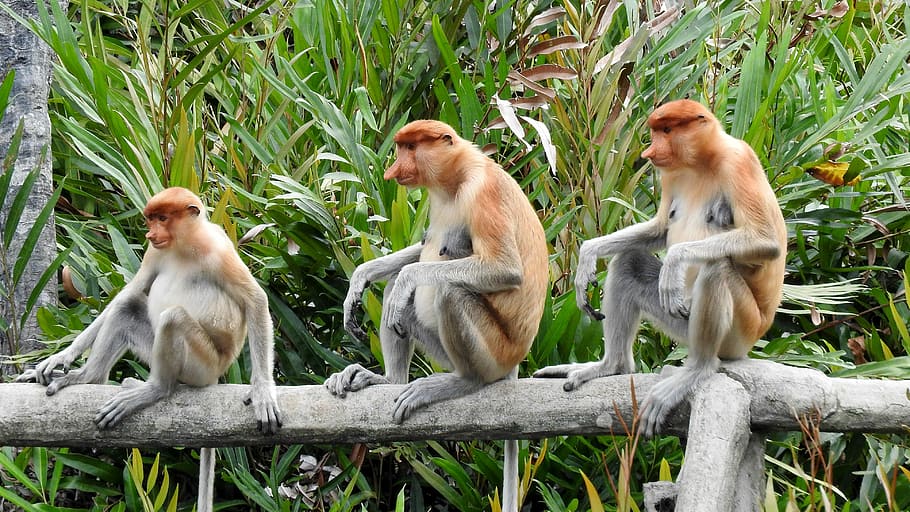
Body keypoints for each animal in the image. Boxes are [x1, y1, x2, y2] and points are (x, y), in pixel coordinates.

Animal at [16, 187, 281, 512]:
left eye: (163, 218)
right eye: (151, 219)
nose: (150, 233)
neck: (184, 245)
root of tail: (218, 374)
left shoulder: (220, 252)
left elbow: (255, 300)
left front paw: (263, 392)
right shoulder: (154, 253)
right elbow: (130, 292)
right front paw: (60, 357)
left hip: (202, 365)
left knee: (173, 318)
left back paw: (154, 389)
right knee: (127, 307)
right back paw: (87, 377)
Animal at [324, 120, 548, 512]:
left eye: (411, 148)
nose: (393, 169)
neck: (456, 179)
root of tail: (516, 361)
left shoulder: (484, 193)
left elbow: (504, 269)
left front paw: (405, 279)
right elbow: (417, 251)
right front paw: (361, 277)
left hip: (496, 351)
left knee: (448, 292)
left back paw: (462, 381)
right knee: (401, 298)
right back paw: (387, 379)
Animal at [534, 99, 787, 437]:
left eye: (666, 130)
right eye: (656, 132)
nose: (649, 152)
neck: (700, 161)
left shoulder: (739, 161)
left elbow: (766, 240)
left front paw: (675, 261)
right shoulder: (669, 175)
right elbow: (660, 229)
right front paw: (588, 254)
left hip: (740, 332)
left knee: (716, 268)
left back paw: (698, 369)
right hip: (681, 323)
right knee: (629, 261)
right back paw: (611, 366)